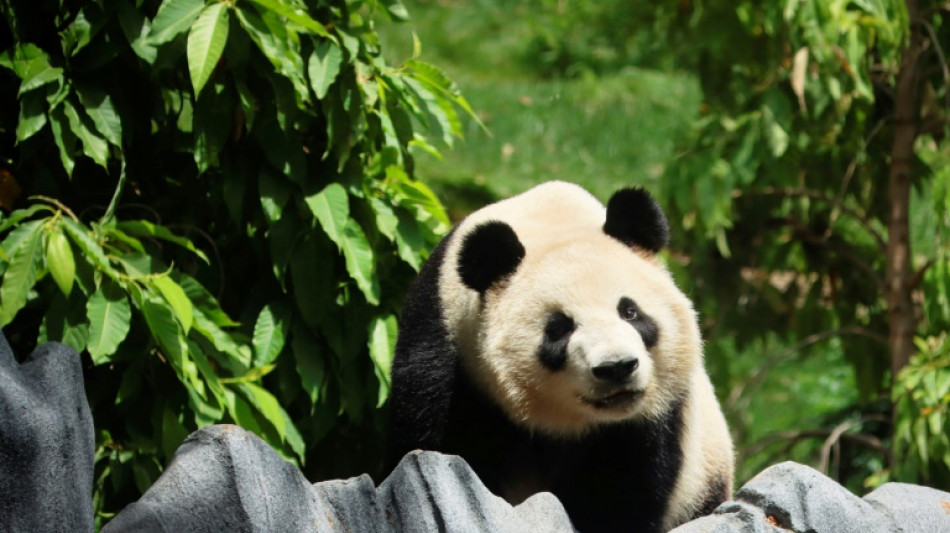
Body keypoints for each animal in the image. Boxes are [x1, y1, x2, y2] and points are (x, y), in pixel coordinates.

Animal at [386, 181, 736, 528]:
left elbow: (623, 490)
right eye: (559, 329)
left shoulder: (654, 418)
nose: (616, 368)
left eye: (630, 312)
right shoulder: (445, 347)